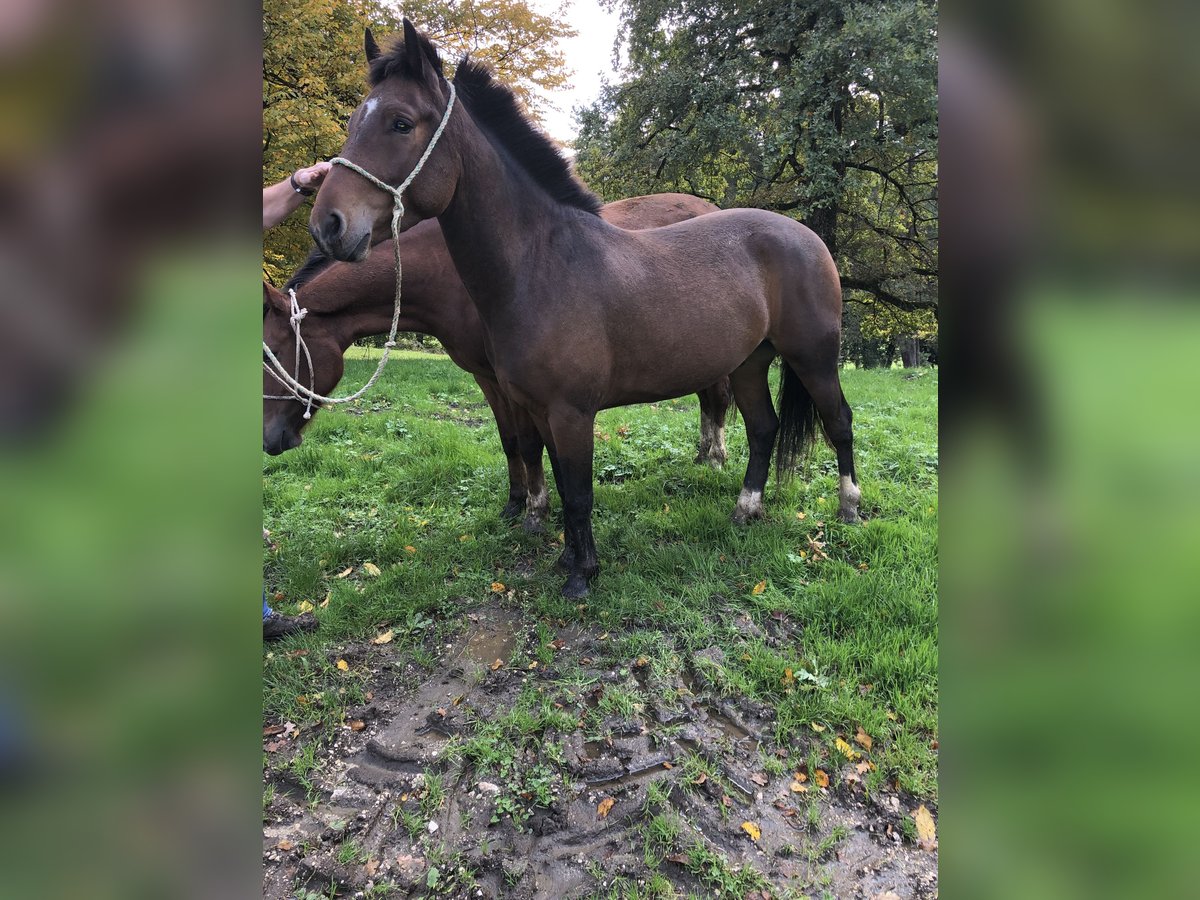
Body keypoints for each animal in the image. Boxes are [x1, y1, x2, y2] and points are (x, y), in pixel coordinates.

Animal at [309, 22, 854, 600]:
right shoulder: (538, 408)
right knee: (764, 428)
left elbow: (578, 492)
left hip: (814, 357)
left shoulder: (572, 413)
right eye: (354, 121)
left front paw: (581, 576)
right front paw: (566, 556)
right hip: (751, 361)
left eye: (401, 122)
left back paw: (849, 508)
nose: (328, 225)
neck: (541, 266)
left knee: (838, 422)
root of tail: (806, 235)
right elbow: (552, 473)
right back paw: (746, 510)